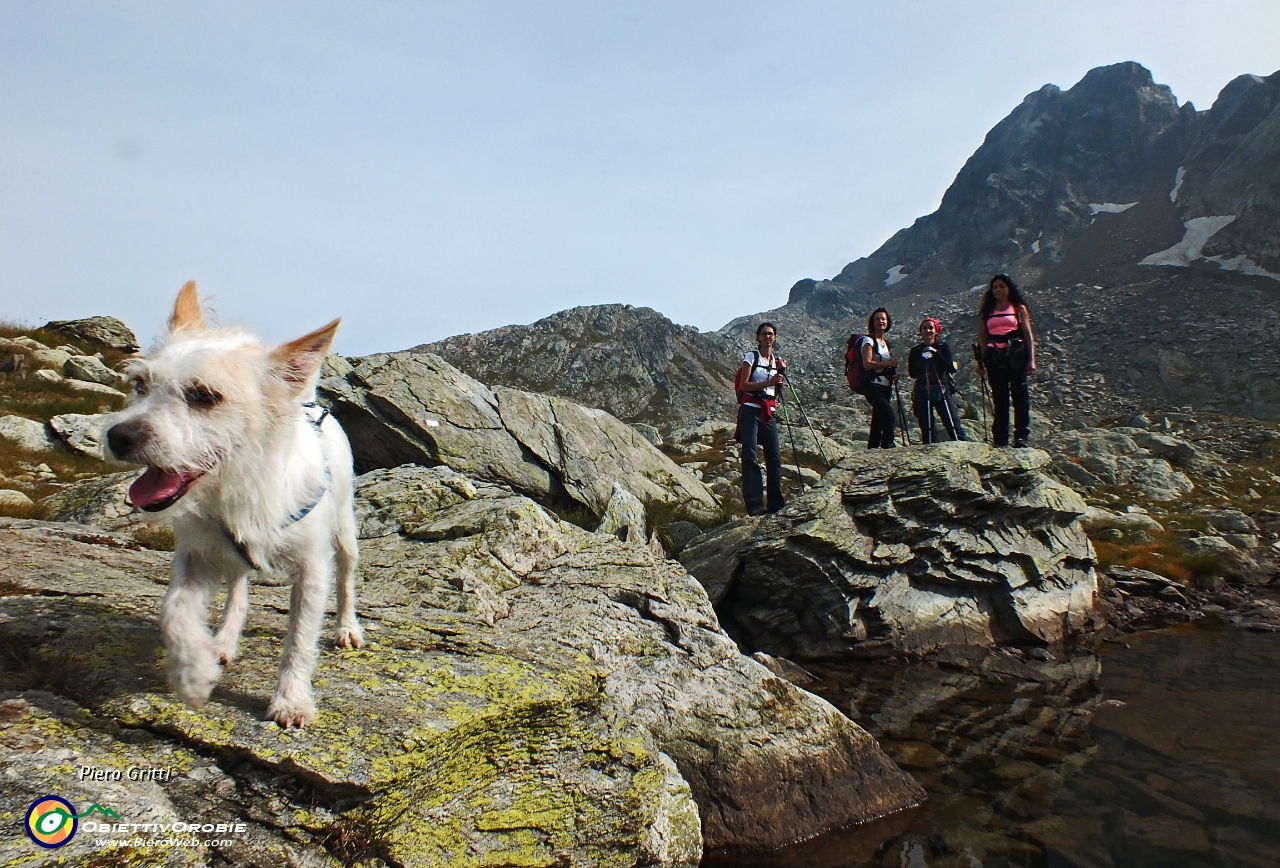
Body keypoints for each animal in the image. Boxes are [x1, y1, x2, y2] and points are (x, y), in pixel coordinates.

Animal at [107, 284, 363, 727]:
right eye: (140, 384)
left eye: (204, 396)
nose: (118, 436)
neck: (237, 486)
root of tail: (313, 406)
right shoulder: (194, 555)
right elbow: (172, 610)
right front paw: (191, 672)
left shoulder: (312, 569)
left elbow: (299, 638)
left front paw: (291, 699)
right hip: (231, 555)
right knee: (239, 591)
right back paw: (222, 641)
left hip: (345, 530)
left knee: (346, 578)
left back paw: (347, 628)